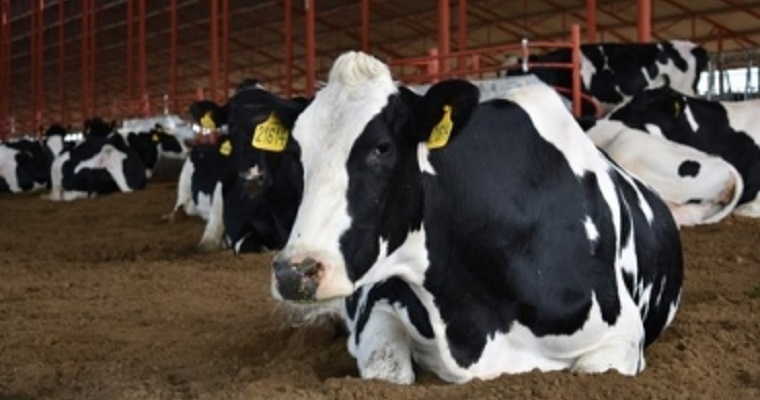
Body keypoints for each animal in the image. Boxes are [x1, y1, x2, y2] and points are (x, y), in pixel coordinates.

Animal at [268, 51, 683, 384]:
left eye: (382, 147)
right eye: (297, 152)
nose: (294, 272)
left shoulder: (621, 334)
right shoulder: (378, 306)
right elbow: (387, 372)